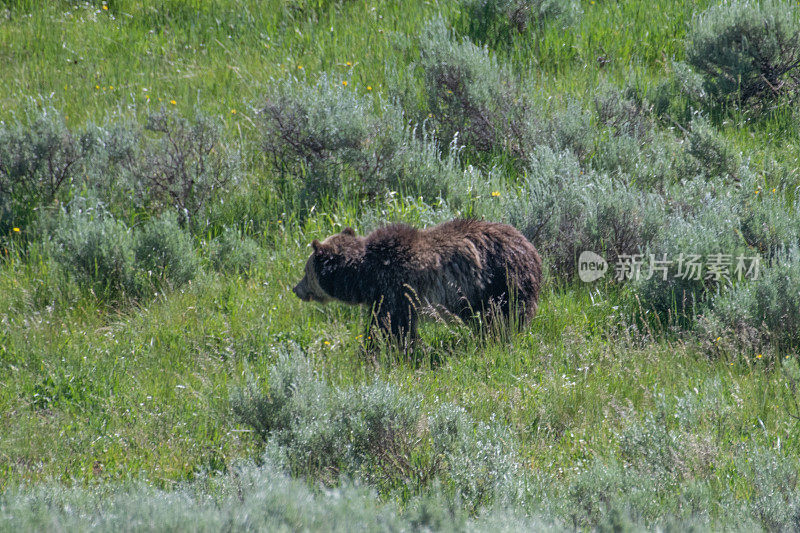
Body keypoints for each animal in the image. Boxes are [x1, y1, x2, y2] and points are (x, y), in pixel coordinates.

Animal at [294, 218, 544, 342]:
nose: (296, 288)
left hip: (501, 281)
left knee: (506, 317)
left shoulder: (396, 288)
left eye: (306, 271)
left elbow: (392, 326)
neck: (365, 275)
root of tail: (531, 248)